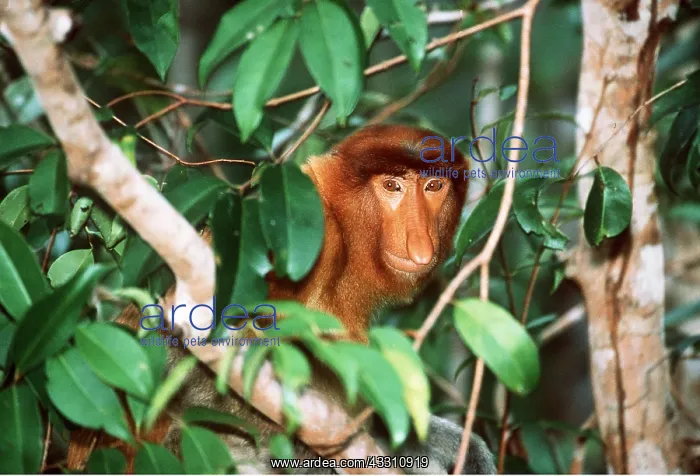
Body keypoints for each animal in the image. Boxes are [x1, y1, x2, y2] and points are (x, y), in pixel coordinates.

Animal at [67, 124, 496, 474]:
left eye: (433, 187)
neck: (346, 231)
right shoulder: (296, 234)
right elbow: (177, 349)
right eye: (392, 186)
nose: (421, 244)